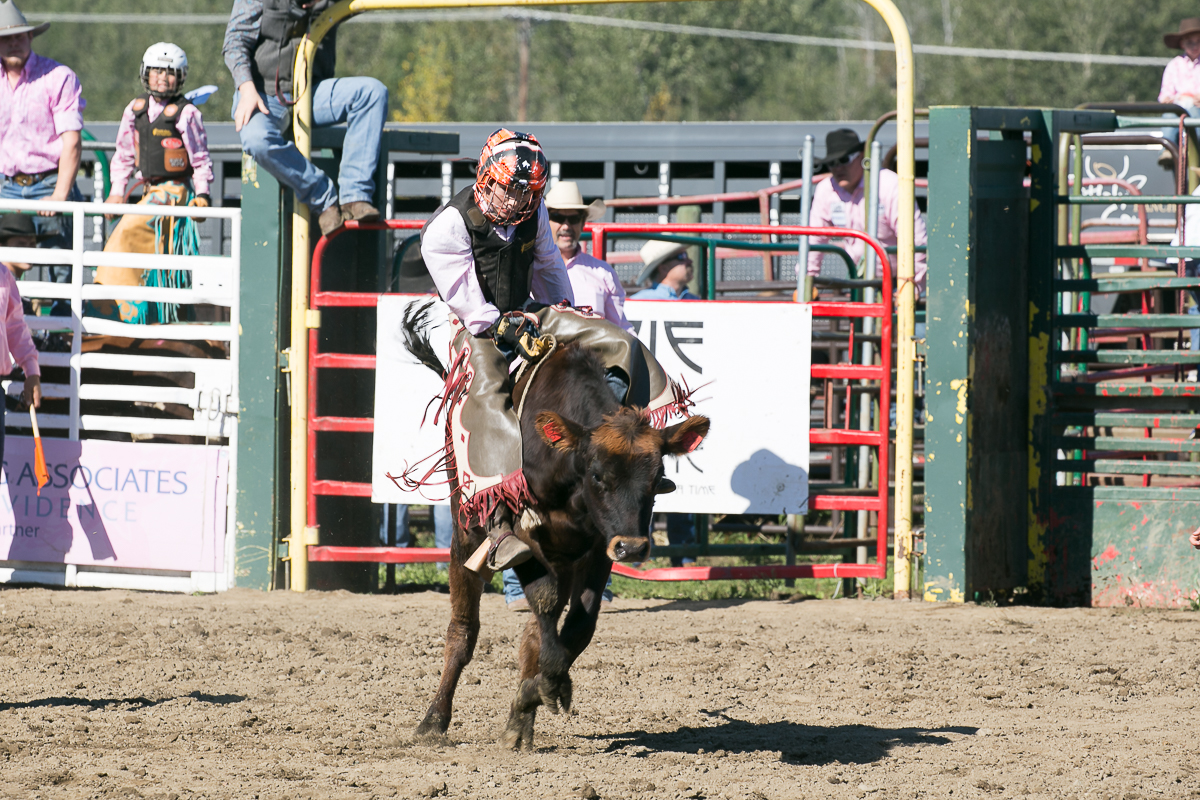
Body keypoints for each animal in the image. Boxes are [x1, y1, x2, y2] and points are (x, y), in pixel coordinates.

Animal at [403, 302, 705, 753]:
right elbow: (543, 600)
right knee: (463, 631)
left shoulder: (598, 547)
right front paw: (549, 683)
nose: (634, 548)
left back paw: (520, 720)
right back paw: (434, 720)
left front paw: (537, 690)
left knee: (533, 632)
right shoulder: (528, 534)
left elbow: (580, 623)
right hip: (467, 534)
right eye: (598, 475)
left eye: (657, 480)